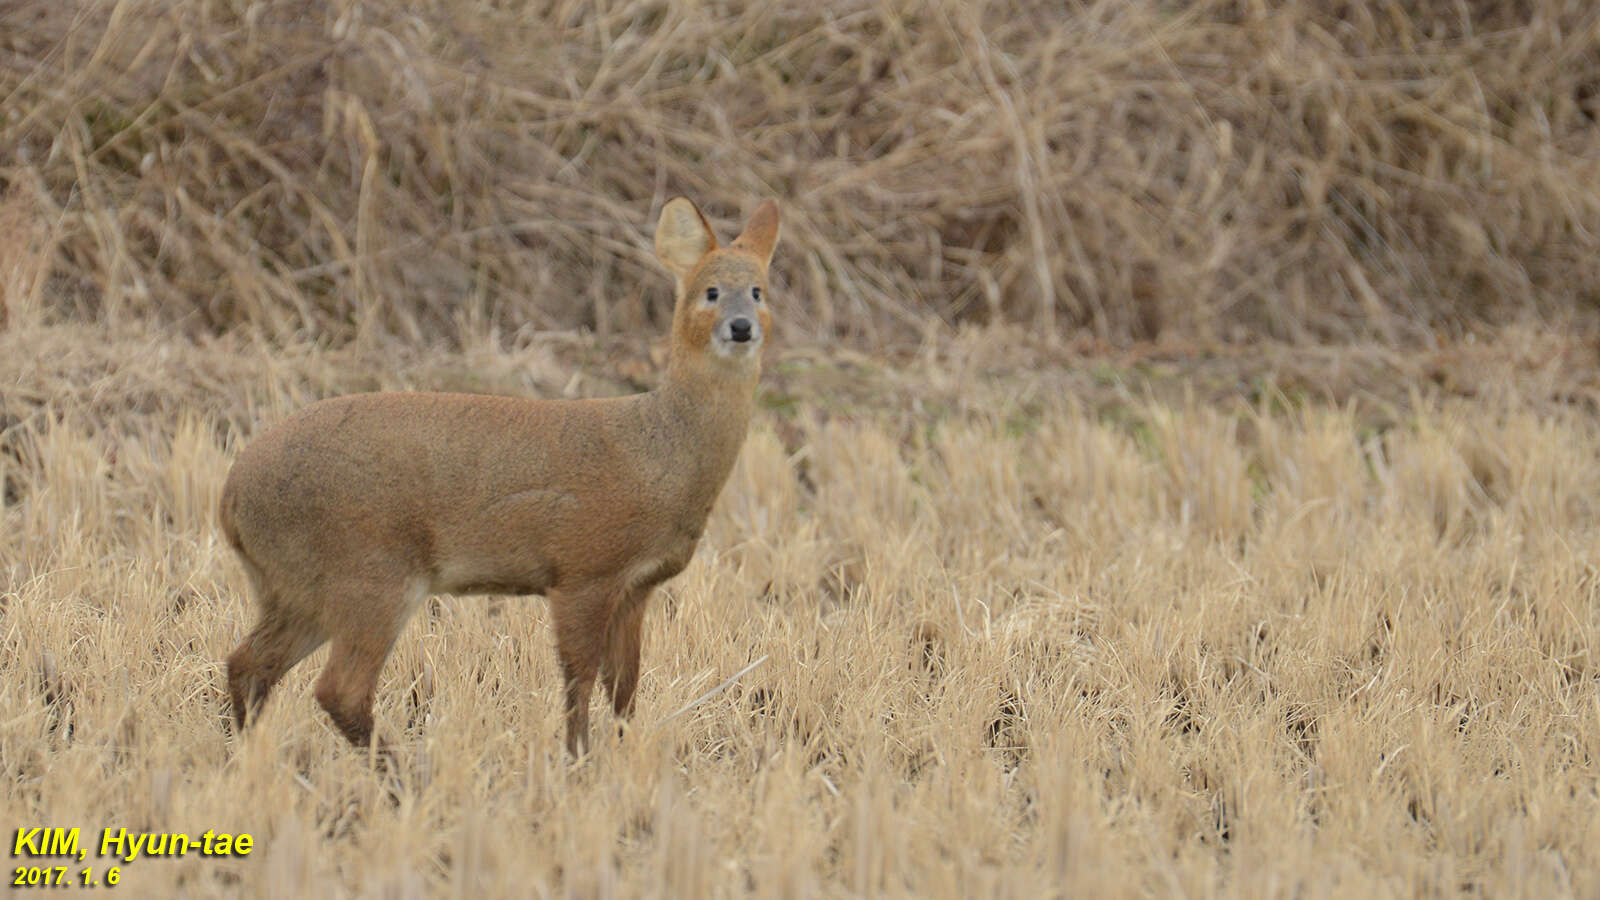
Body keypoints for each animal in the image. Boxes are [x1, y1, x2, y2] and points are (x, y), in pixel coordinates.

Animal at [220, 197, 780, 755]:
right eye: (710, 291)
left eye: (758, 291)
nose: (740, 326)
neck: (662, 452)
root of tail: (230, 499)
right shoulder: (583, 570)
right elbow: (578, 677)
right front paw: (578, 756)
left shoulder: (637, 587)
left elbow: (625, 686)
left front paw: (623, 752)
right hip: (368, 573)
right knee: (337, 688)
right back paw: (403, 770)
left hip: (296, 587)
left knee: (248, 662)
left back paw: (248, 754)